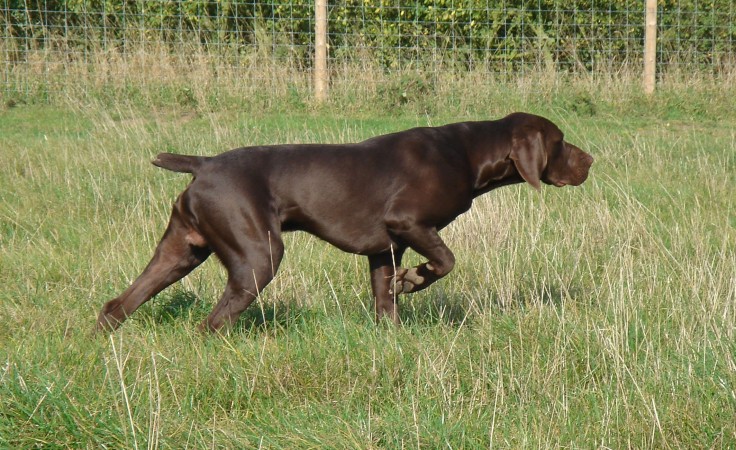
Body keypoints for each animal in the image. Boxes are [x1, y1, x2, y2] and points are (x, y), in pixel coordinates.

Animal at [96, 111, 592, 332]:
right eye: (561, 142)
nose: (590, 161)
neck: (467, 153)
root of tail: (205, 164)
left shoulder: (386, 248)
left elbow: (385, 300)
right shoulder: (409, 223)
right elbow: (446, 262)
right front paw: (414, 280)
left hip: (181, 251)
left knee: (118, 304)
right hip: (257, 256)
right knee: (212, 322)